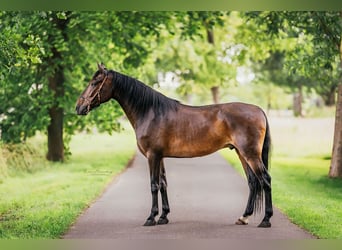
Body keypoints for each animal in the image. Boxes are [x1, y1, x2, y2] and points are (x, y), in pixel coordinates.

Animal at [75, 63, 272, 228]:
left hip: (250, 154)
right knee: (253, 182)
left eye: (95, 82)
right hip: (242, 153)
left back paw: (265, 220)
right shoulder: (159, 156)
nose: (79, 107)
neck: (150, 112)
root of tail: (259, 110)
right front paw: (163, 217)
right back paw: (243, 217)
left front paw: (151, 218)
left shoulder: (152, 156)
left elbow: (154, 185)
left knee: (265, 180)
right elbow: (163, 183)